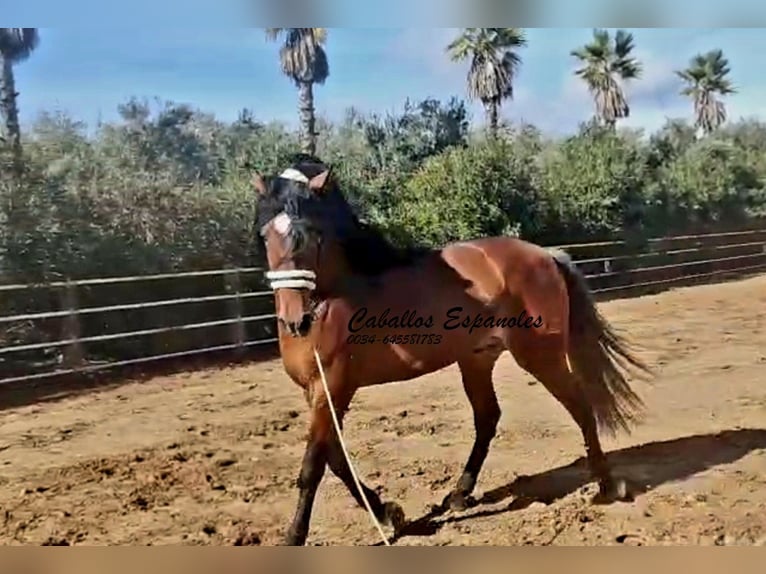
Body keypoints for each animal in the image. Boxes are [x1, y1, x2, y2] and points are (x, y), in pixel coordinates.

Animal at [252, 155, 654, 546]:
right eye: (266, 235)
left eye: (311, 235)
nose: (295, 320)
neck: (339, 296)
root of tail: (545, 255)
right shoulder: (316, 392)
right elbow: (336, 460)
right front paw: (390, 515)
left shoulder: (333, 386)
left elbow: (313, 465)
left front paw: (295, 536)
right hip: (477, 359)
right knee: (488, 417)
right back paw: (459, 494)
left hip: (540, 355)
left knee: (579, 405)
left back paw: (606, 486)